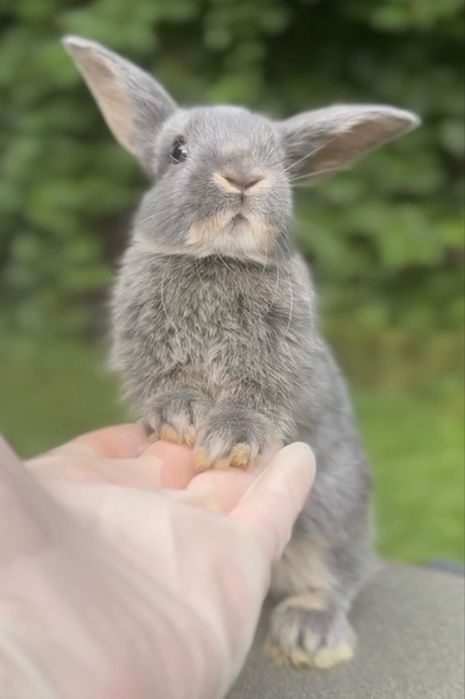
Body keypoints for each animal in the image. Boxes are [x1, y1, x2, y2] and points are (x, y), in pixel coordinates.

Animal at [64, 35, 420, 669]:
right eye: (177, 151)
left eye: (279, 158)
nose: (244, 176)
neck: (217, 258)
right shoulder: (148, 350)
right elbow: (166, 383)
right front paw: (178, 417)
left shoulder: (276, 362)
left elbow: (254, 399)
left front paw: (230, 440)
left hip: (333, 513)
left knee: (339, 577)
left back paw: (309, 634)